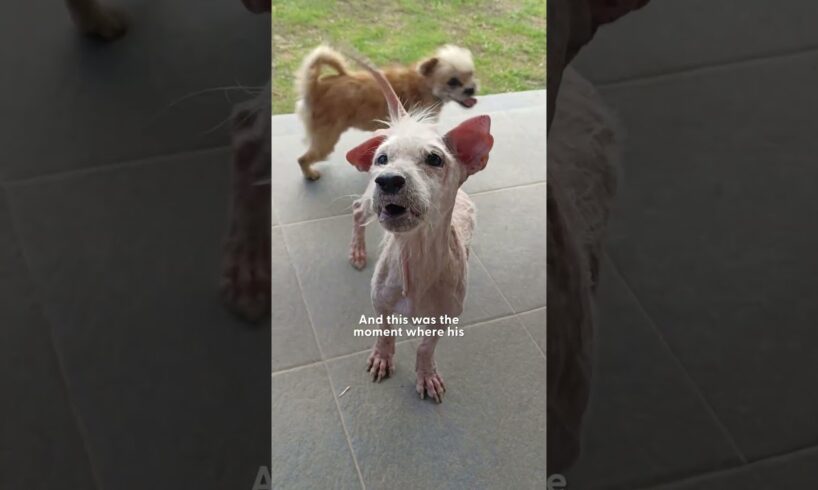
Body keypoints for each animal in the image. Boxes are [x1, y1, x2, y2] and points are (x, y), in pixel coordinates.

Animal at [294, 44, 478, 180]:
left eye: (471, 74)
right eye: (453, 81)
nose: (471, 89)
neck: (424, 84)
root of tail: (316, 87)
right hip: (326, 139)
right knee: (302, 159)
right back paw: (309, 174)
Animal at [342, 55, 490, 404]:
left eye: (435, 159)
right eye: (382, 158)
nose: (388, 179)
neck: (415, 255)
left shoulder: (444, 318)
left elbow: (426, 347)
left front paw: (426, 375)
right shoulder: (379, 303)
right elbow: (385, 332)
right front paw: (382, 358)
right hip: (367, 201)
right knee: (357, 210)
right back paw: (358, 250)